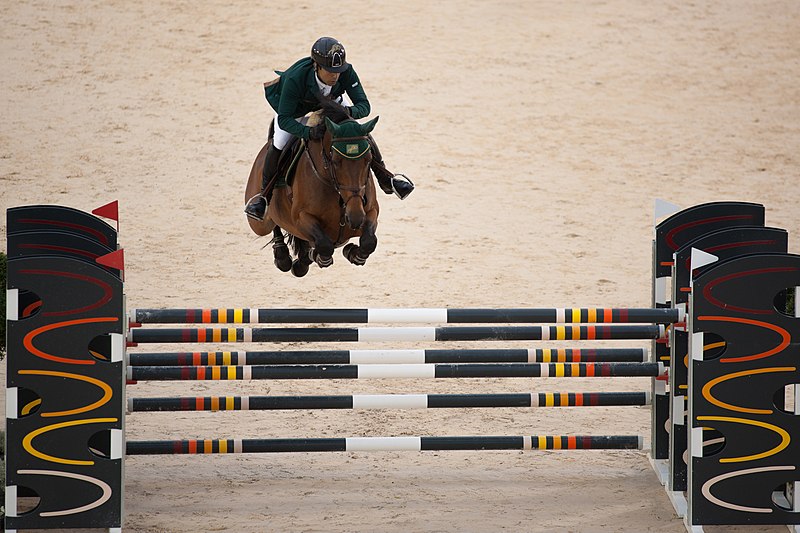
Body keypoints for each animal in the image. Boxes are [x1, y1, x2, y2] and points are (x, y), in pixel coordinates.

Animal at [244, 105, 382, 276]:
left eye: (369, 159)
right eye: (335, 161)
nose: (355, 217)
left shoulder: (371, 211)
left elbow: (369, 241)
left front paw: (352, 252)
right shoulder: (301, 217)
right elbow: (324, 245)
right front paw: (319, 256)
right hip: (259, 223)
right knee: (271, 221)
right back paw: (283, 256)